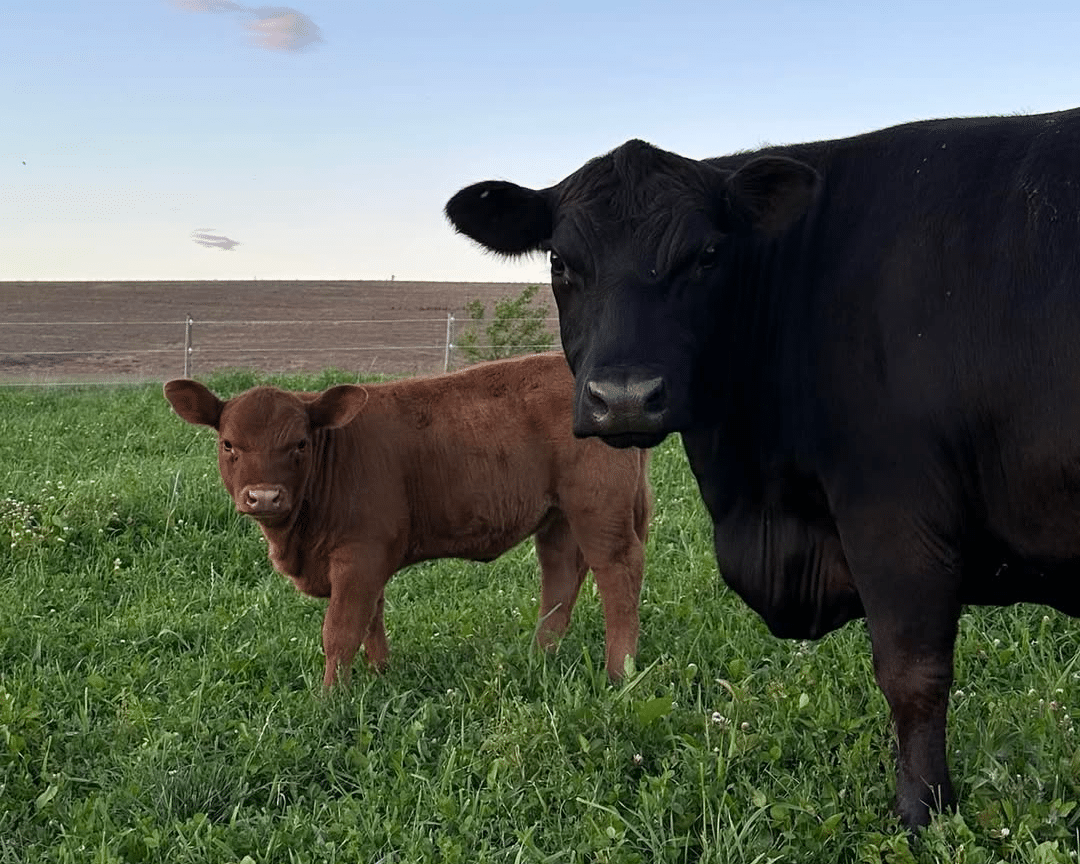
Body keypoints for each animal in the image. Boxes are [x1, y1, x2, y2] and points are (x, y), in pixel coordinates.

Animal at [163, 353, 651, 687]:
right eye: (229, 444)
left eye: (299, 443)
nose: (263, 496)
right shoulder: (370, 557)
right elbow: (372, 618)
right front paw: (380, 675)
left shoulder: (360, 554)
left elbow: (341, 630)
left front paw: (330, 699)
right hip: (558, 517)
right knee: (561, 579)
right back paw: (539, 658)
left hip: (598, 509)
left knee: (618, 576)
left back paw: (619, 672)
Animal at [444, 107, 1080, 829]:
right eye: (560, 261)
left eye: (707, 256)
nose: (625, 397)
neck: (759, 503)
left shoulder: (896, 520)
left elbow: (913, 675)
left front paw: (922, 813)